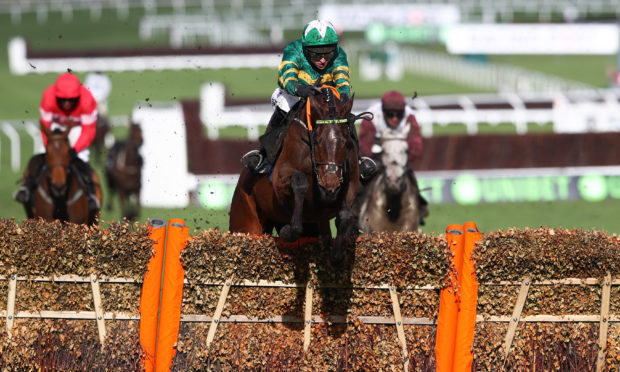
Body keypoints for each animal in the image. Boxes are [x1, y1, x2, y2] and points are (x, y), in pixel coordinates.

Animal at [230, 86, 360, 262]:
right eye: (317, 140)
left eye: (345, 142)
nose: (330, 185)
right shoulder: (281, 180)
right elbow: (300, 182)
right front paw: (288, 232)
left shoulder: (351, 183)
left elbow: (346, 215)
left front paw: (338, 255)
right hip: (245, 221)